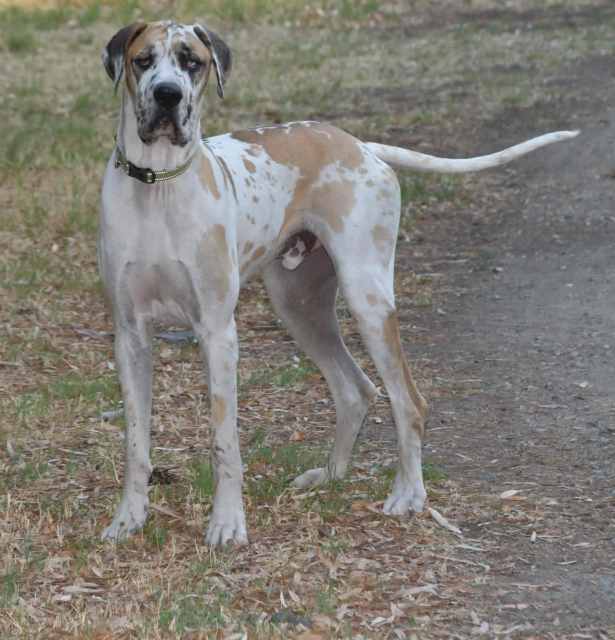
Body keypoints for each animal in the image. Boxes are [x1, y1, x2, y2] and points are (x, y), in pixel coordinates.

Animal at [98, 22, 580, 548]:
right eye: (144, 60)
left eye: (192, 63)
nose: (167, 95)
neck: (158, 185)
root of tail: (361, 145)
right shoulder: (130, 338)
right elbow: (135, 442)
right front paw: (128, 517)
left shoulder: (218, 334)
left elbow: (224, 441)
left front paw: (227, 523)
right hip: (299, 307)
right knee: (356, 390)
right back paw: (330, 476)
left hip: (367, 298)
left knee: (409, 401)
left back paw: (408, 495)